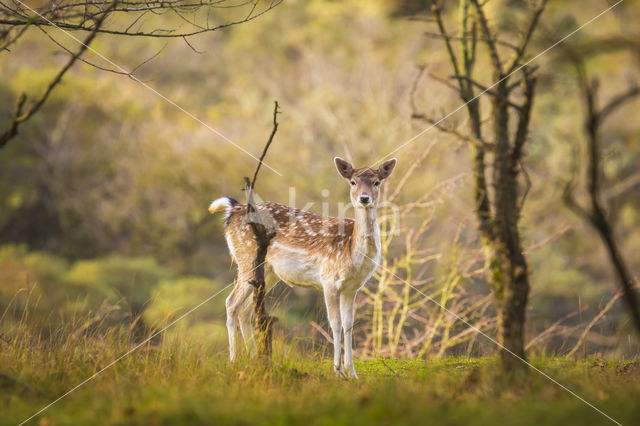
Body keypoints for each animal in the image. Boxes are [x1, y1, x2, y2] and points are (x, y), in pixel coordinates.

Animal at [208, 158, 396, 378]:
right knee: (231, 303)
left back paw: (253, 360)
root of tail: (233, 209)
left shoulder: (352, 287)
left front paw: (352, 373)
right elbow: (335, 323)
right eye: (353, 182)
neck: (351, 251)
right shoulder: (329, 278)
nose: (364, 198)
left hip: (267, 272)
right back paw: (234, 361)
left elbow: (349, 324)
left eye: (377, 182)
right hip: (245, 258)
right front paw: (338, 371)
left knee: (245, 309)